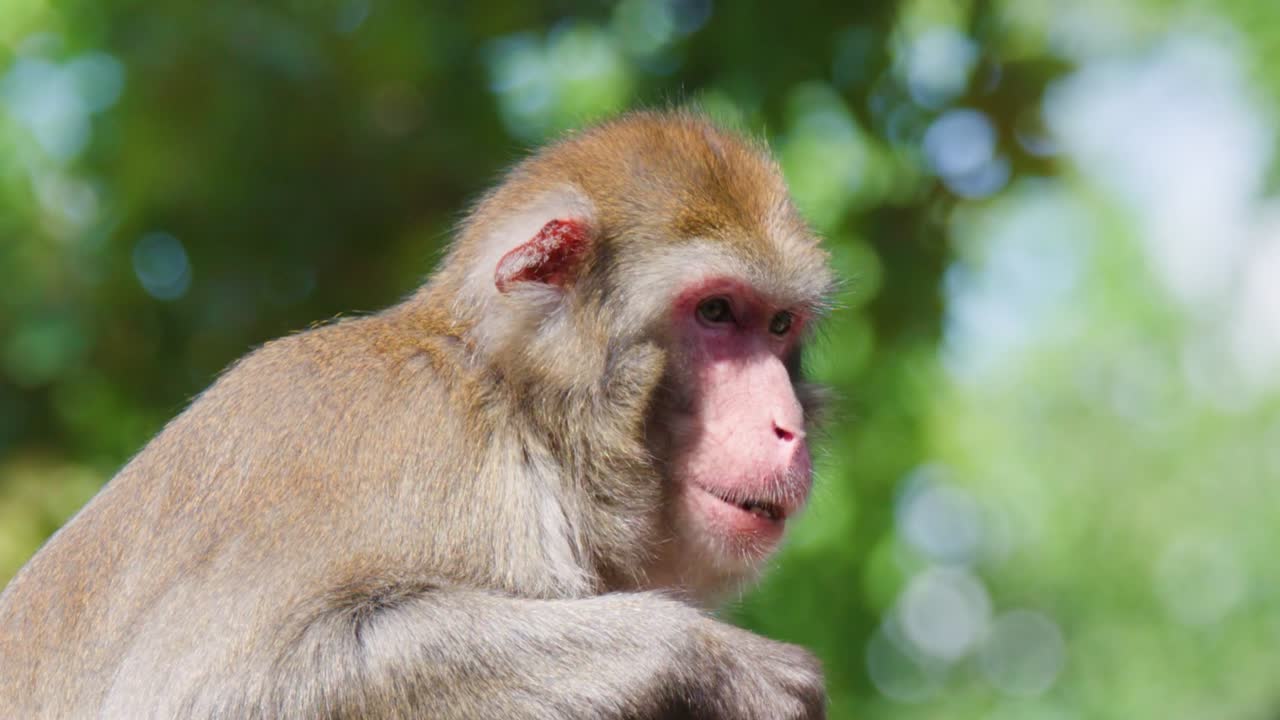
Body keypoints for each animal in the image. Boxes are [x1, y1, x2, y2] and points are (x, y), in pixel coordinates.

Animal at [0, 110, 836, 719]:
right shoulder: (447, 470)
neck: (519, 414)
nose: (785, 424)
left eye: (779, 326)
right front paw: (709, 660)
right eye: (717, 312)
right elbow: (215, 691)